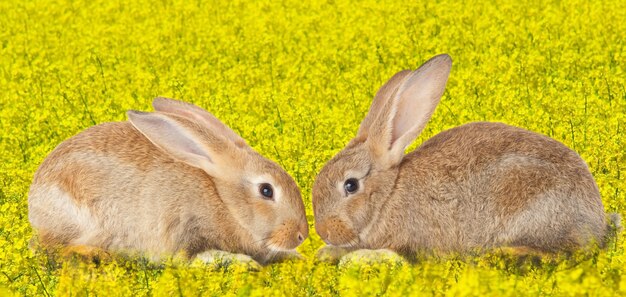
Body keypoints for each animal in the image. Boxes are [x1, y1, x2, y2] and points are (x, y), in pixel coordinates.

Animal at [28, 96, 308, 264]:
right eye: (266, 190)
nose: (301, 236)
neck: (224, 202)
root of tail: (34, 200)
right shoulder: (183, 232)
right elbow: (193, 259)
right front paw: (244, 262)